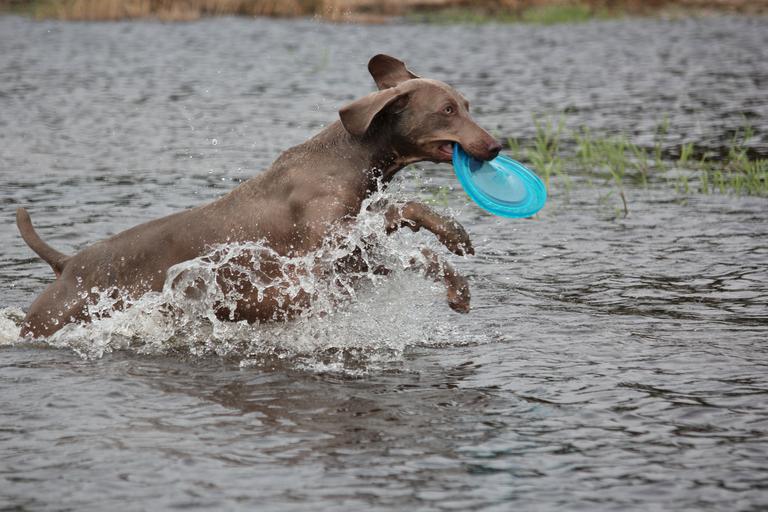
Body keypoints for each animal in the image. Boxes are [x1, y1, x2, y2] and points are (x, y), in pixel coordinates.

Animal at [16, 54, 502, 338]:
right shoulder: (321, 257)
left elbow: (409, 230)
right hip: (53, 316)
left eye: (468, 106)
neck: (350, 158)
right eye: (447, 110)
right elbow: (410, 232)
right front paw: (455, 257)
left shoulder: (352, 248)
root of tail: (67, 264)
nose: (497, 146)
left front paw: (456, 258)